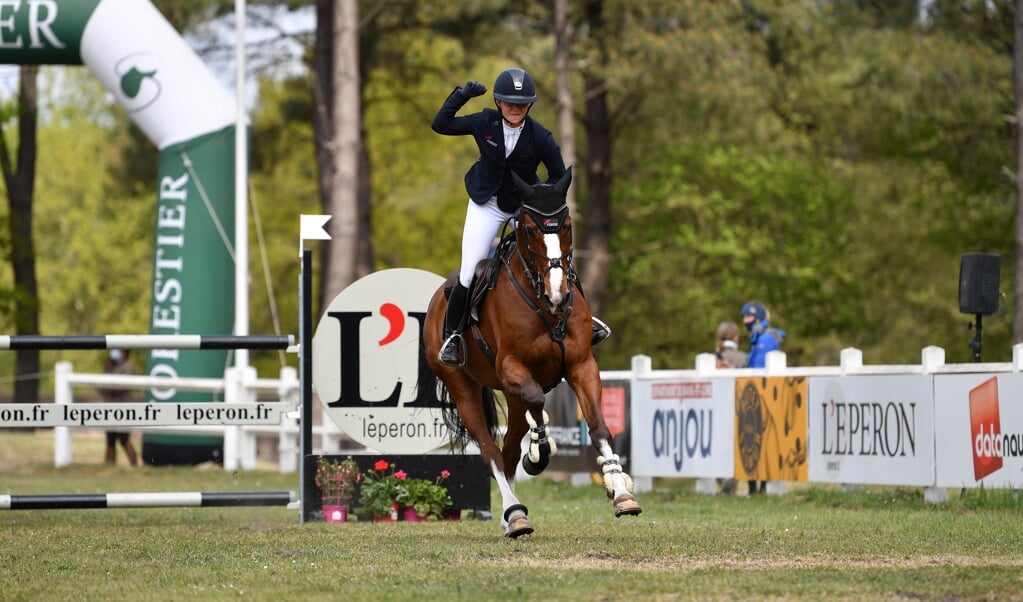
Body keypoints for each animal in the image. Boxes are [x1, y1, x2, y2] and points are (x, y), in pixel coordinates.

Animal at [421, 166, 638, 536]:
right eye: (532, 229)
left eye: (567, 226)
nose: (558, 294)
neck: (544, 305)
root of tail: (437, 299)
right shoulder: (512, 365)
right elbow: (538, 403)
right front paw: (539, 452)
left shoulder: (582, 366)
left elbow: (598, 427)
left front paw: (621, 491)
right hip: (462, 386)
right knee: (492, 451)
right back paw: (515, 513)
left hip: (511, 393)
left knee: (509, 451)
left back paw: (513, 515)